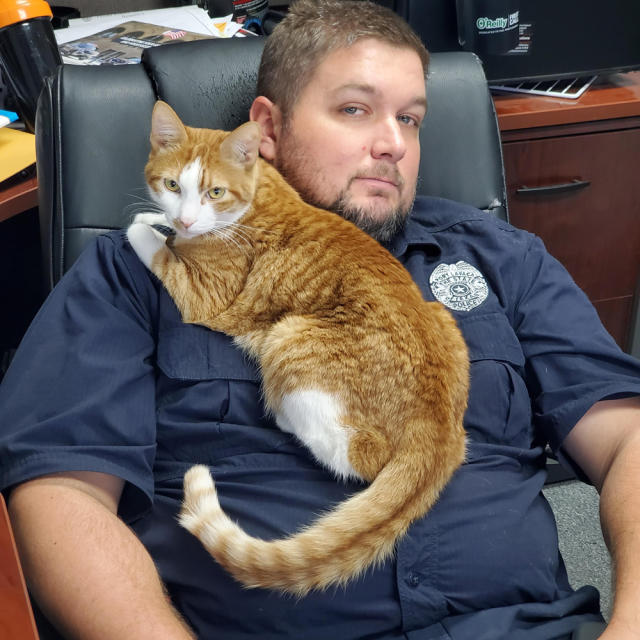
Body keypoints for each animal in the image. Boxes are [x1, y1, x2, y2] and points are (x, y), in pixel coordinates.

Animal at [126, 100, 470, 596]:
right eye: (173, 185)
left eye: (214, 192)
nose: (185, 220)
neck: (255, 194)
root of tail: (441, 426)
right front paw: (160, 224)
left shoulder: (205, 294)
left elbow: (156, 249)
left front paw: (145, 229)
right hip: (443, 315)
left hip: (289, 338)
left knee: (355, 454)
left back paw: (286, 415)